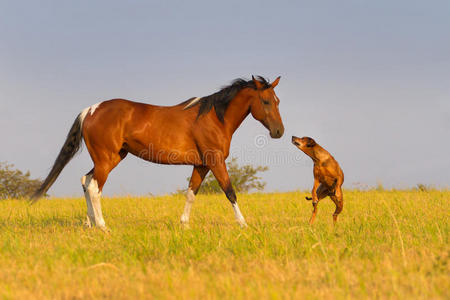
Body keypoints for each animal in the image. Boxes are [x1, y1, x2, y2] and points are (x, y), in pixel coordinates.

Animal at [31, 76, 284, 231]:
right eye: (265, 101)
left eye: (278, 100)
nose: (279, 131)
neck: (213, 117)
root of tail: (91, 110)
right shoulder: (216, 161)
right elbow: (230, 191)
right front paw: (244, 224)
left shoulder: (201, 165)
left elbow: (191, 193)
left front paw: (184, 225)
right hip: (105, 159)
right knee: (94, 187)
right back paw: (103, 226)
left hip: (113, 157)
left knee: (86, 180)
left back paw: (89, 223)